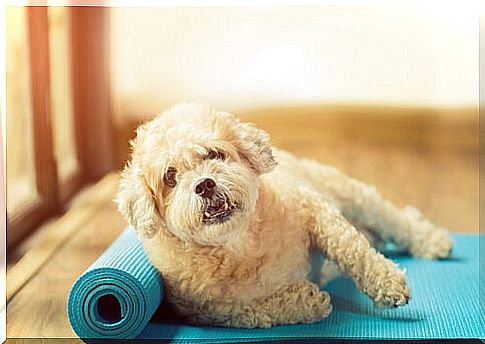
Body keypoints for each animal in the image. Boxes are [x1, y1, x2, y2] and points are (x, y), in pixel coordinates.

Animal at [115, 102, 452, 328]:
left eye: (214, 154)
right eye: (170, 177)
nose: (204, 184)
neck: (239, 245)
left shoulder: (315, 211)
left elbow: (352, 250)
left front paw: (388, 282)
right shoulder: (212, 312)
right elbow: (262, 311)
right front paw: (310, 301)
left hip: (351, 194)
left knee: (394, 220)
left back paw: (433, 241)